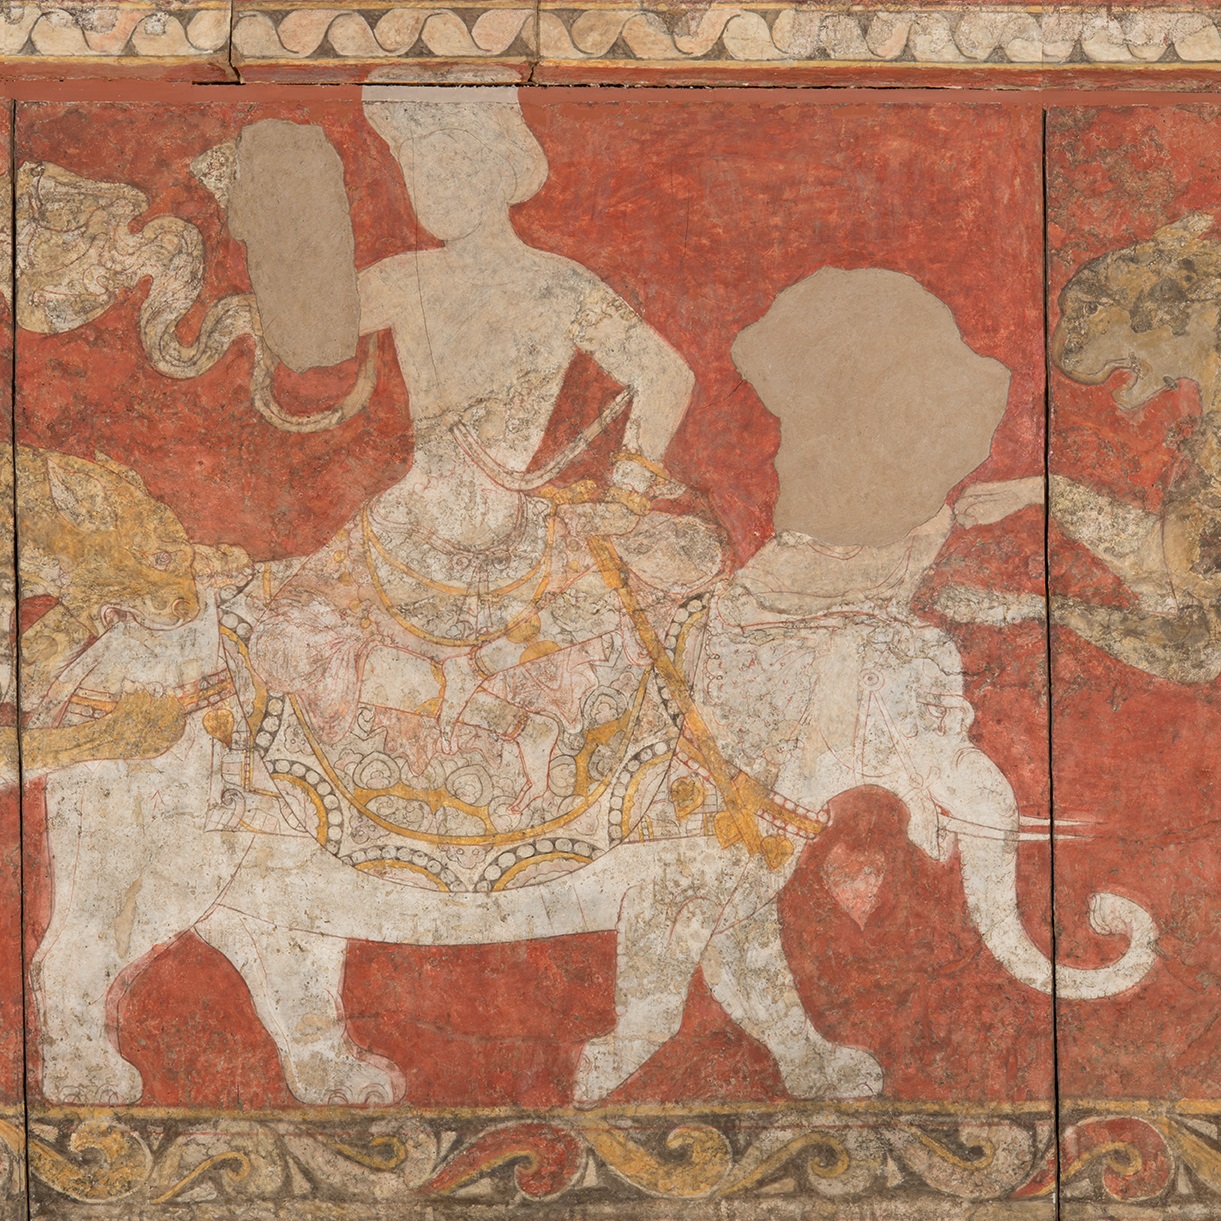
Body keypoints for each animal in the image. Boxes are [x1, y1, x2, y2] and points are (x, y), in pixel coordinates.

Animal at [29, 557, 1160, 1110]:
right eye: (947, 719)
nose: (1112, 911)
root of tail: (85, 664)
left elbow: (752, 967)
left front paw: (840, 1082)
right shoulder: (676, 844)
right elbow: (665, 966)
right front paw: (593, 1079)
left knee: (281, 956)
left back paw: (351, 1089)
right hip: (151, 816)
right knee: (92, 943)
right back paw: (96, 1088)